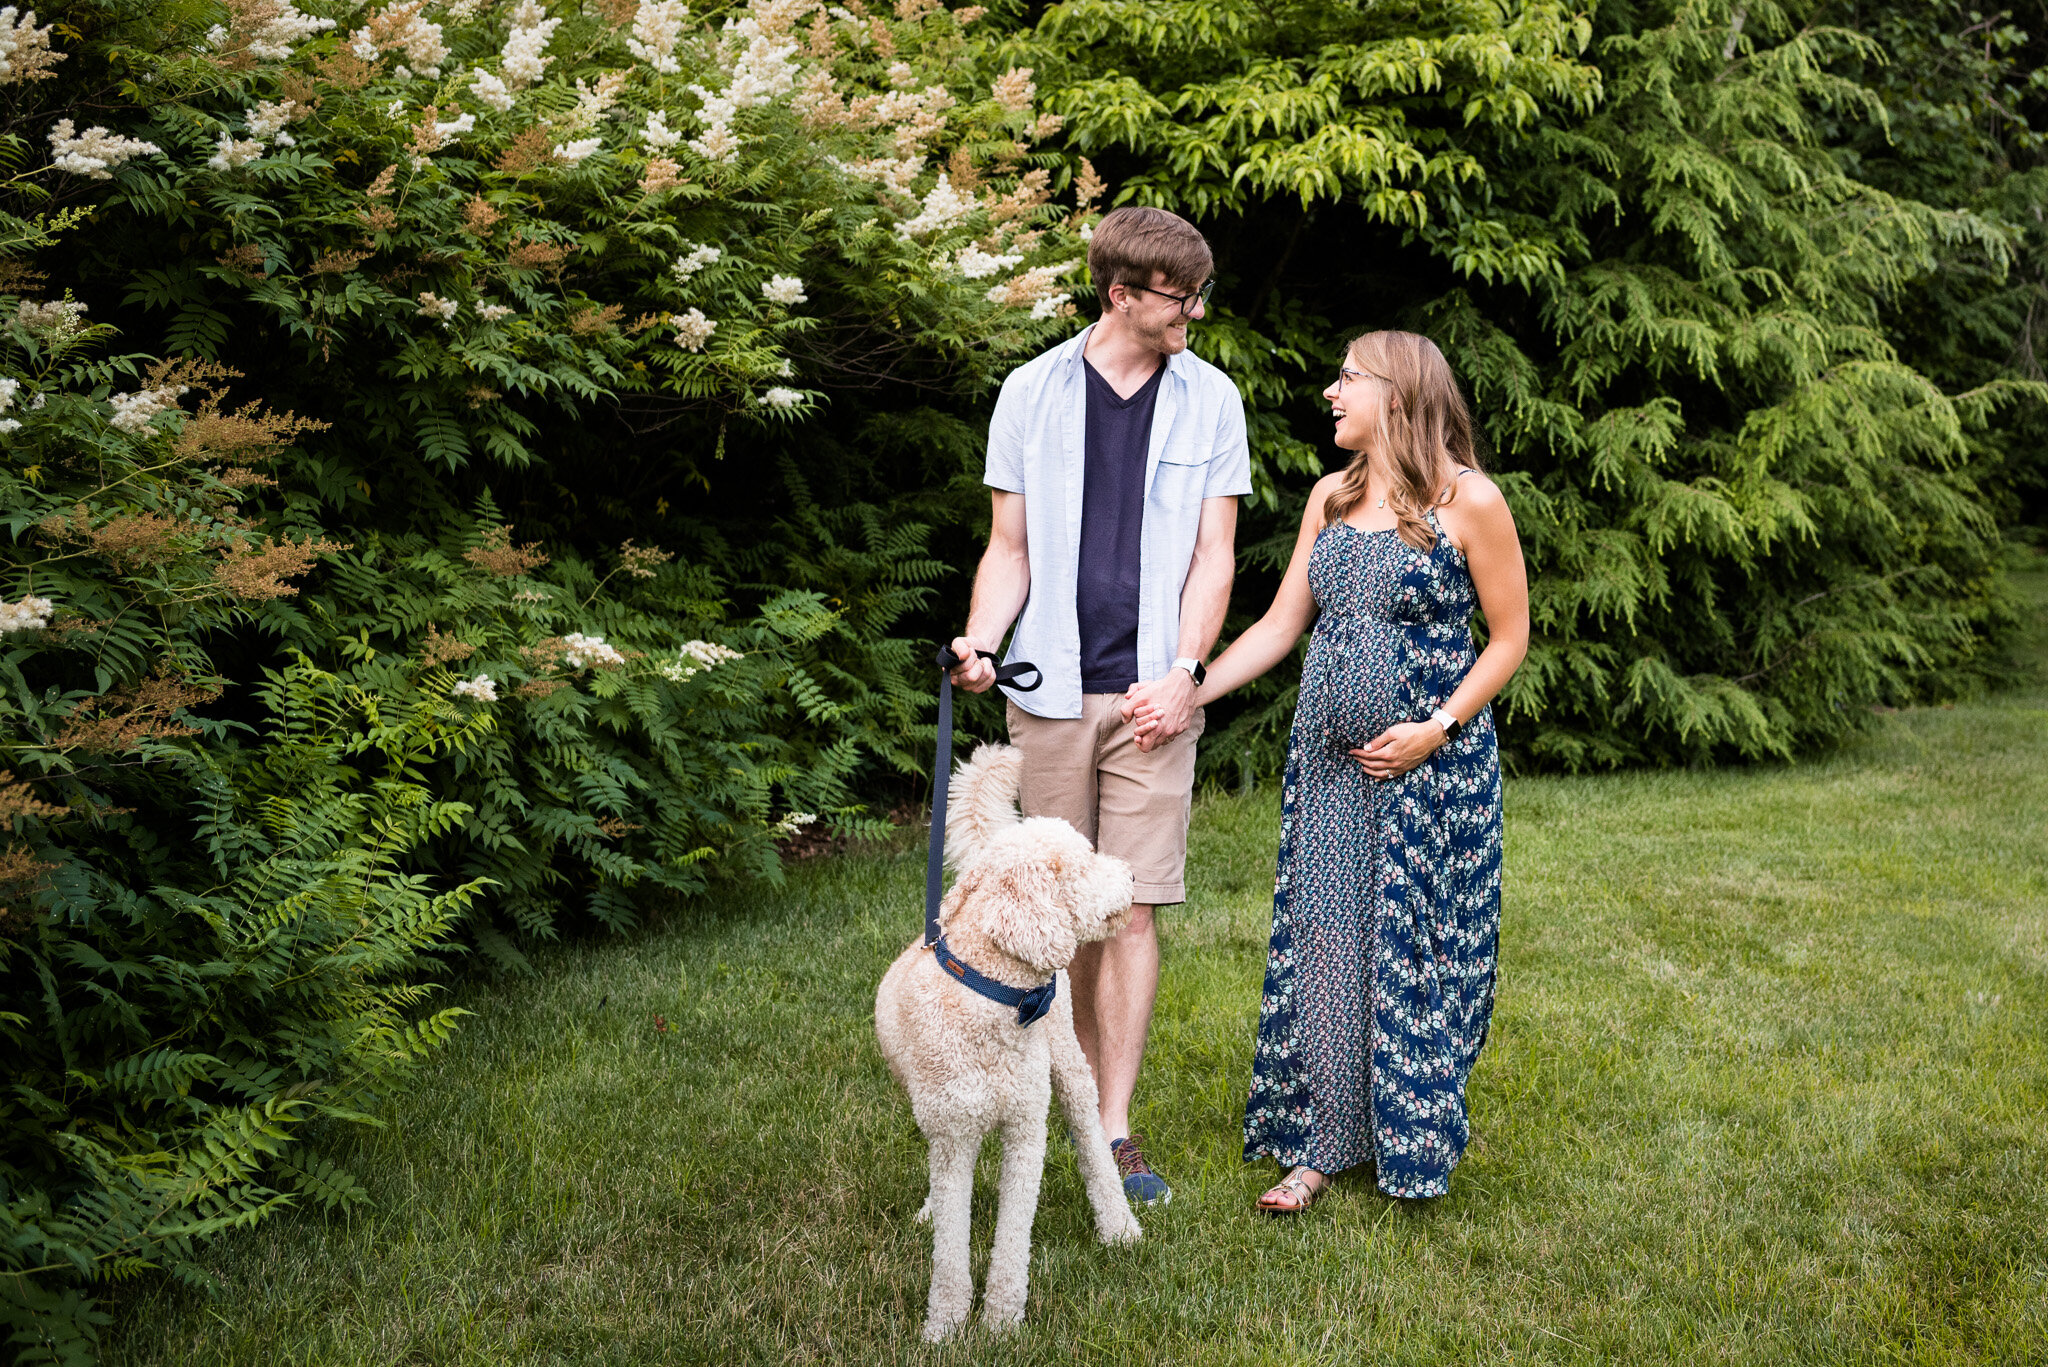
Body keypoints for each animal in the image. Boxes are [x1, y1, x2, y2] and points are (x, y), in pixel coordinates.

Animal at [872, 741, 1146, 1344]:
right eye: (1085, 863)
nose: (1134, 875)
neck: (991, 997)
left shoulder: (1025, 1126)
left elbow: (1013, 1237)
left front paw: (1000, 1321)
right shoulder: (952, 1134)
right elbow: (950, 1245)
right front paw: (947, 1324)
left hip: (1068, 1065)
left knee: (1092, 1142)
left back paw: (1118, 1226)